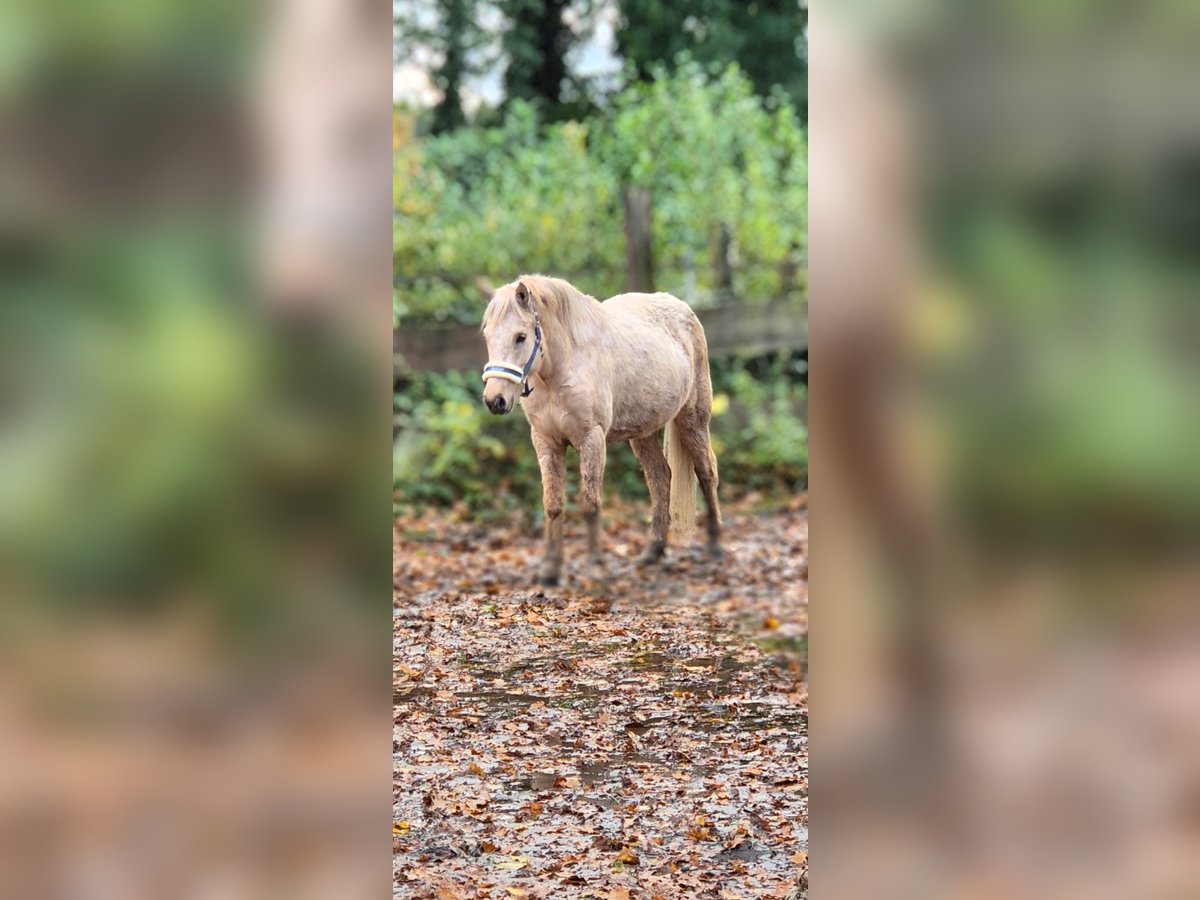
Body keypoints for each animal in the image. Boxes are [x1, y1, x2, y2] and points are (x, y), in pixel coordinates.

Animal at [481, 275, 722, 586]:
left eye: (520, 337)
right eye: (487, 336)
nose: (494, 400)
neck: (562, 369)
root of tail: (682, 308)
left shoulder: (591, 439)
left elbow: (590, 504)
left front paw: (596, 569)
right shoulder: (546, 442)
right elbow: (553, 504)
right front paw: (549, 571)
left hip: (693, 418)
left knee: (706, 472)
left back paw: (715, 546)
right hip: (642, 433)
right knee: (660, 477)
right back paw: (653, 551)